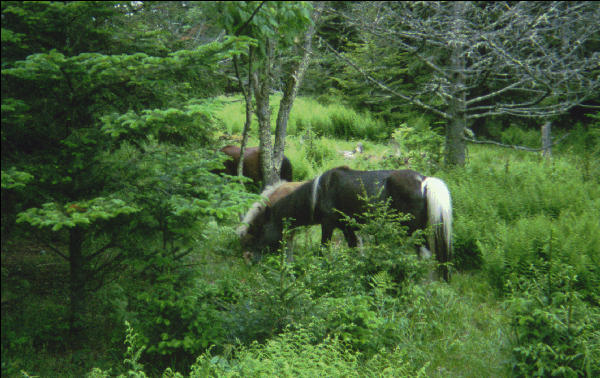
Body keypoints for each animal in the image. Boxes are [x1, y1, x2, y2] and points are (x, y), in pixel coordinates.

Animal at [241, 166, 452, 280]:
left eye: (260, 229)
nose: (252, 259)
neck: (319, 193)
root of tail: (424, 181)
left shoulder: (328, 224)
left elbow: (323, 251)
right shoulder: (348, 228)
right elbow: (354, 252)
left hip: (413, 230)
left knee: (425, 256)